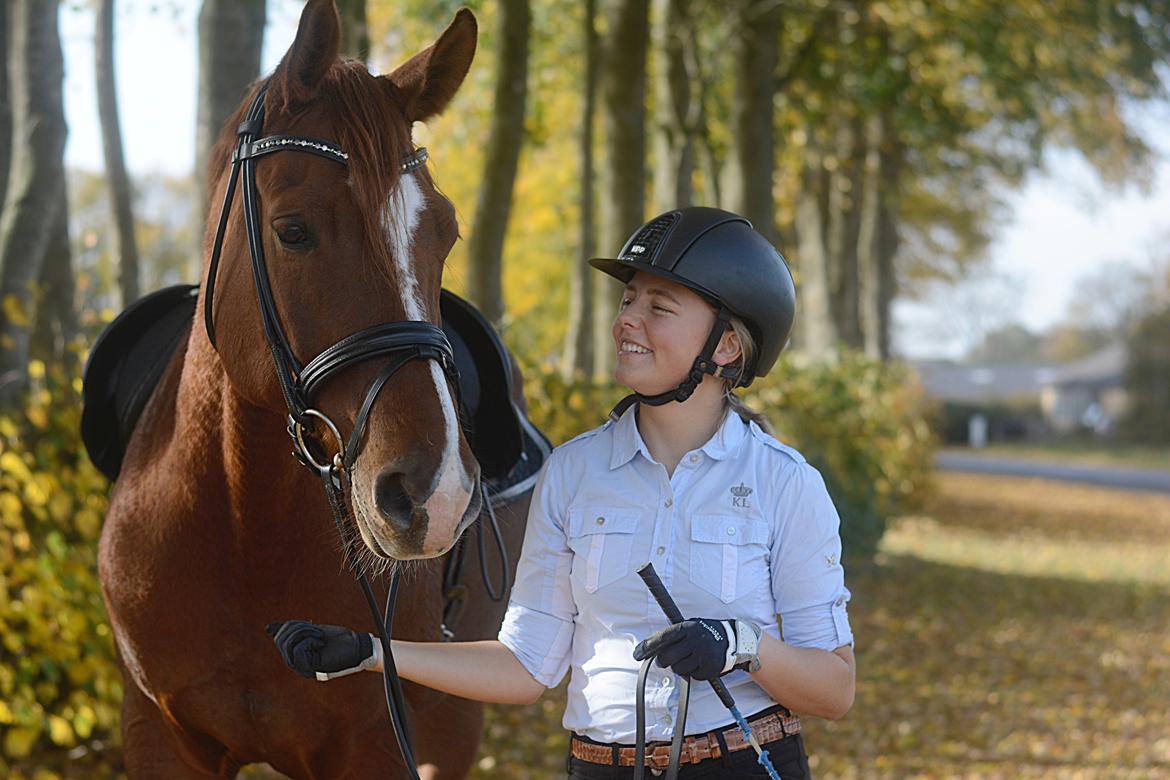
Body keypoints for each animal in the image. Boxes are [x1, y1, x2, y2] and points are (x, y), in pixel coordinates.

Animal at [100, 3, 531, 776]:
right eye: (292, 230)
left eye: (446, 234)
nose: (436, 494)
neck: (243, 527)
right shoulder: (158, 732)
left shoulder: (373, 743)